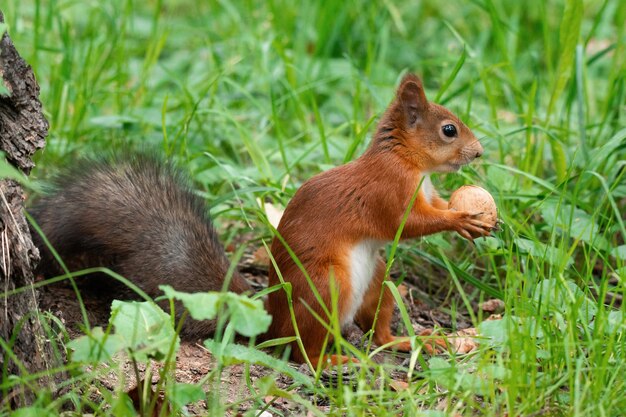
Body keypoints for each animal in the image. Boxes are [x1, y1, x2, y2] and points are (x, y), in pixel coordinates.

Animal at [264, 73, 488, 366]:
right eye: (449, 130)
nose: (479, 152)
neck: (405, 158)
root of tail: (274, 327)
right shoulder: (389, 190)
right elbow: (408, 223)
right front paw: (461, 220)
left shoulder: (428, 194)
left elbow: (440, 206)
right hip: (324, 289)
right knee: (303, 352)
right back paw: (332, 361)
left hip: (377, 281)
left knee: (380, 334)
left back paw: (412, 341)